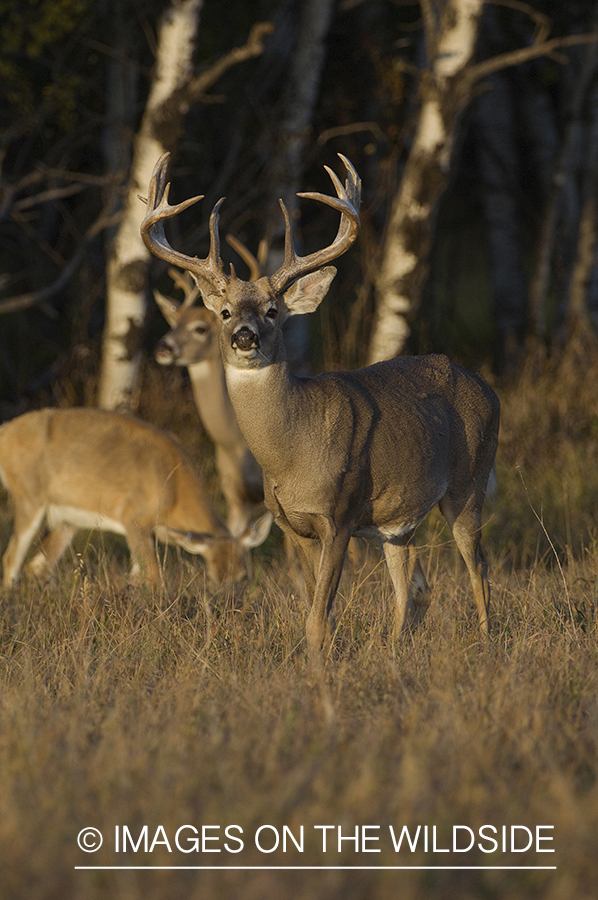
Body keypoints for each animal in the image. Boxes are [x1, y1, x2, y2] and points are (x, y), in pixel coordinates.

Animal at [142, 153, 502, 660]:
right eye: (225, 312)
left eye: (273, 311)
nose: (245, 337)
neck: (293, 454)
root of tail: (488, 388)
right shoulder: (290, 524)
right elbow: (313, 608)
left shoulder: (340, 515)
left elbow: (317, 618)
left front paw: (317, 668)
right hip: (398, 521)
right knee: (413, 588)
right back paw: (394, 651)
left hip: (468, 486)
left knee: (479, 572)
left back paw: (486, 643)